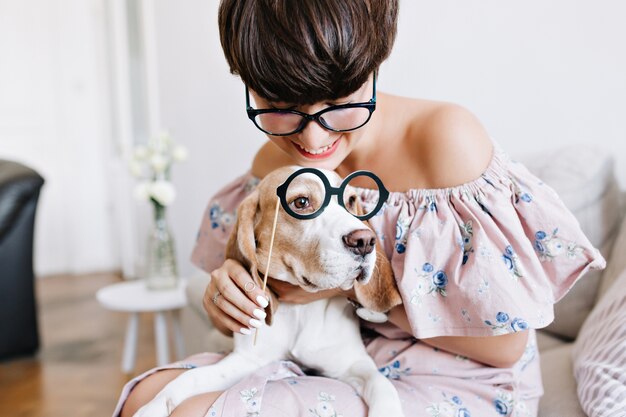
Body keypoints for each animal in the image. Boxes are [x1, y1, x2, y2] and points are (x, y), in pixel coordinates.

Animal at [134, 166, 402, 416]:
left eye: (351, 201)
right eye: (301, 202)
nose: (365, 241)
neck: (300, 311)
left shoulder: (353, 363)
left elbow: (382, 385)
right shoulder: (247, 359)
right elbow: (187, 378)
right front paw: (153, 406)